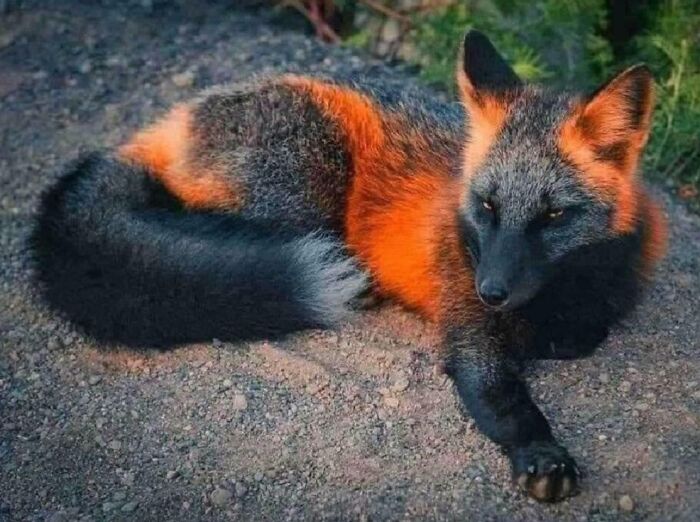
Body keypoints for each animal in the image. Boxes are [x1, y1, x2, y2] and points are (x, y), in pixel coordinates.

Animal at [32, 31, 667, 502]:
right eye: (487, 206)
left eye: (554, 215)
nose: (491, 290)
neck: (559, 294)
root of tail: (179, 115)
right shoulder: (467, 327)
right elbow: (504, 399)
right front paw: (541, 453)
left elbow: (587, 332)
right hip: (307, 187)